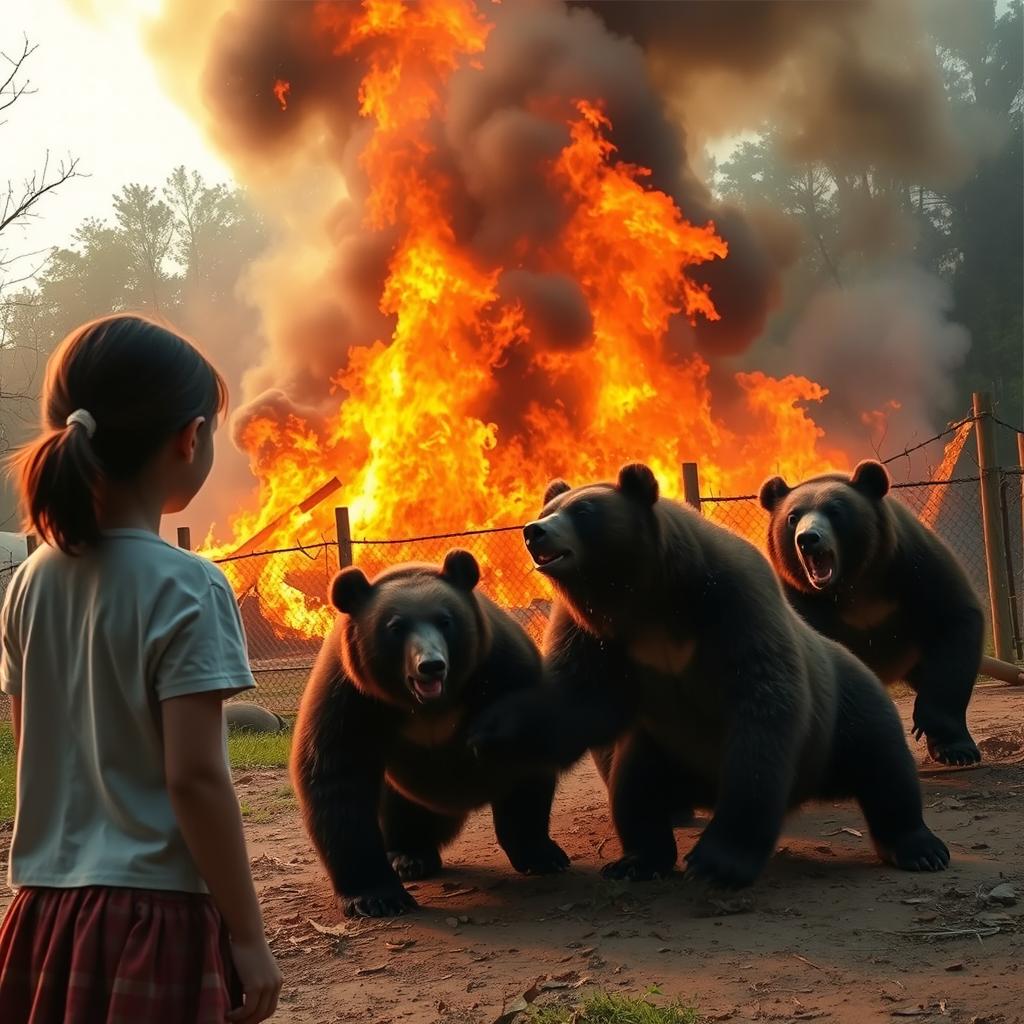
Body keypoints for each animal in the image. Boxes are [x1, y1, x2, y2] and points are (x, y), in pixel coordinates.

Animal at [292, 552, 573, 921]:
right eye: (395, 627)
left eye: (445, 620)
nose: (431, 665)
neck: (428, 707)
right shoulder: (350, 693)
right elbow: (335, 775)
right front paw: (377, 897)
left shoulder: (504, 670)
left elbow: (526, 757)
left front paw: (544, 855)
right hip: (405, 788)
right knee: (400, 811)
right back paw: (410, 857)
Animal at [468, 464, 946, 888]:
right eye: (549, 508)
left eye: (584, 510)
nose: (534, 531)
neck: (650, 605)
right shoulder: (594, 637)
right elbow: (576, 699)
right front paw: (488, 733)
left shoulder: (735, 606)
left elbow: (762, 717)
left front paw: (716, 864)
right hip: (662, 747)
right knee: (636, 788)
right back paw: (637, 860)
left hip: (845, 717)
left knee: (885, 768)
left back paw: (921, 849)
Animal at [761, 460, 983, 765]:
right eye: (793, 517)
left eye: (835, 511)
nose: (808, 539)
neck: (853, 585)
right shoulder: (799, 596)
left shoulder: (911, 563)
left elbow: (954, 619)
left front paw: (952, 745)